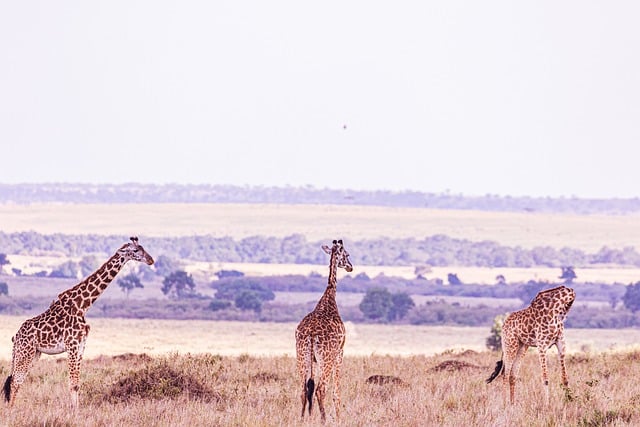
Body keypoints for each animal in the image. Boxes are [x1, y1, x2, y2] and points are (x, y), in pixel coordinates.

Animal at [2, 237, 154, 408]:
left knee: (17, 380)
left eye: (143, 248)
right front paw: (73, 411)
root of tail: (16, 336)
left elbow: (77, 383)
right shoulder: (72, 345)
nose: (151, 260)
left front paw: (77, 410)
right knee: (15, 381)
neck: (83, 305)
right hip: (25, 352)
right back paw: (11, 410)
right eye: (135, 250)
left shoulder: (81, 345)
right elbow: (72, 383)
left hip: (33, 354)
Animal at [296, 239, 356, 422]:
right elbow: (336, 392)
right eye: (347, 254)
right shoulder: (340, 352)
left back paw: (302, 420)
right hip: (327, 358)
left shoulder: (314, 360)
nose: (351, 266)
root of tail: (311, 334)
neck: (329, 297)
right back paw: (323, 420)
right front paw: (339, 419)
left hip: (302, 356)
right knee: (321, 389)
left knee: (304, 389)